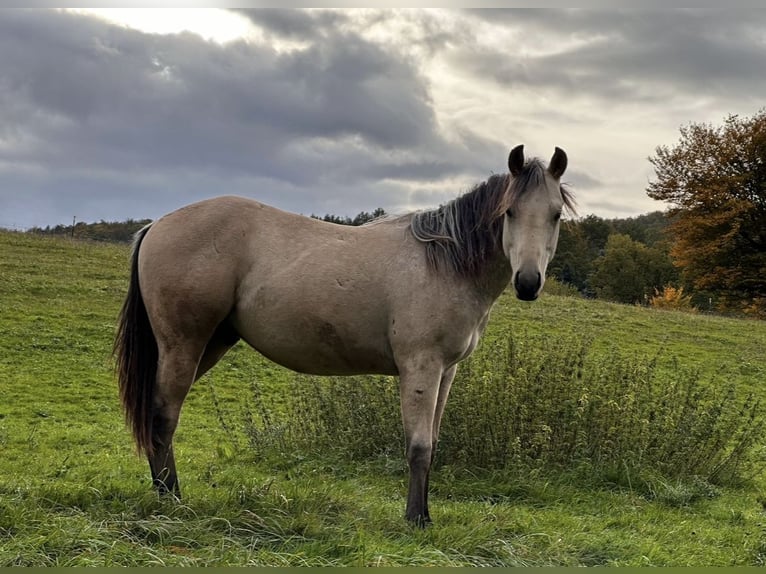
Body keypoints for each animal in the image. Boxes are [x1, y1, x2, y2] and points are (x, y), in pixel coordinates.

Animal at [115, 144, 576, 528]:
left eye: (555, 214)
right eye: (510, 212)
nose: (528, 283)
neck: (443, 263)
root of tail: (157, 225)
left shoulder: (447, 373)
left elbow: (432, 443)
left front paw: (425, 515)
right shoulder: (420, 368)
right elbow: (418, 446)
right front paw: (415, 520)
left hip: (209, 344)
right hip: (183, 343)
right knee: (163, 415)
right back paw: (171, 497)